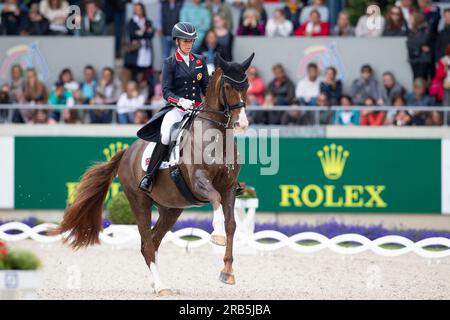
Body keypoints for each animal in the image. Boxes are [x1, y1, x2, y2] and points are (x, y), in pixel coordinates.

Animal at [57, 53, 253, 296]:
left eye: (247, 86)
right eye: (228, 86)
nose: (242, 123)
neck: (216, 136)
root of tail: (127, 153)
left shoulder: (229, 187)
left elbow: (232, 225)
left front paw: (227, 272)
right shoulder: (200, 180)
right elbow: (215, 200)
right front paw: (216, 235)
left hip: (171, 208)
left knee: (152, 240)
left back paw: (155, 282)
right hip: (139, 202)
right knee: (147, 244)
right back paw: (161, 286)